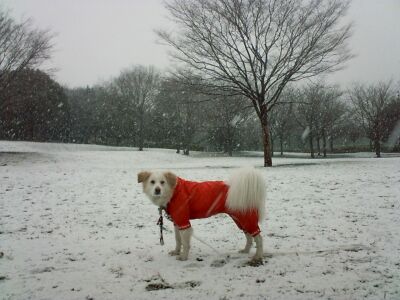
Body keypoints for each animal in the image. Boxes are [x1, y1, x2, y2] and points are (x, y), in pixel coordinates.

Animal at [138, 168, 266, 264]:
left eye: (162, 182)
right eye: (152, 182)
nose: (157, 190)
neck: (173, 192)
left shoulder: (184, 222)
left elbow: (185, 243)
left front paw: (183, 257)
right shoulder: (177, 222)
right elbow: (178, 240)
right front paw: (176, 251)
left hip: (247, 218)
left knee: (258, 238)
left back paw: (258, 256)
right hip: (240, 219)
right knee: (249, 236)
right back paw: (245, 250)